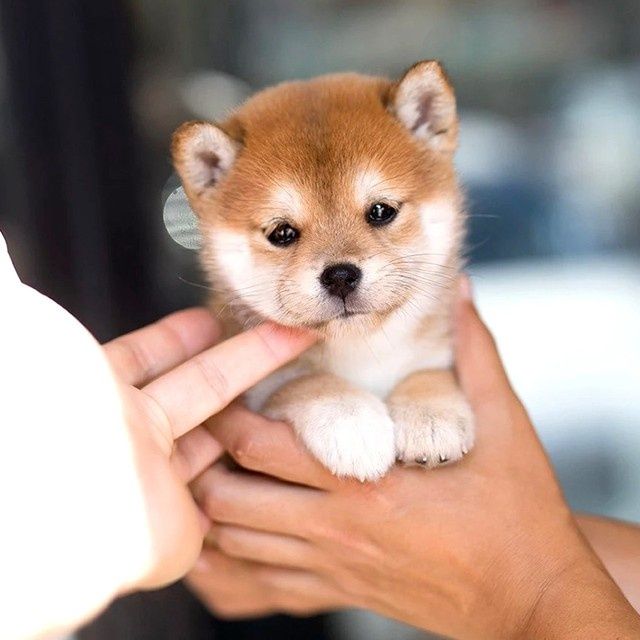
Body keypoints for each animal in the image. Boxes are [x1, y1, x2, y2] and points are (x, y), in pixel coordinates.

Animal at [172, 61, 472, 480]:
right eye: (282, 233)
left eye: (381, 211)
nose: (340, 275)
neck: (361, 350)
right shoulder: (262, 386)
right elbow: (307, 382)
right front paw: (351, 422)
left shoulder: (437, 348)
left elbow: (426, 372)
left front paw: (430, 415)